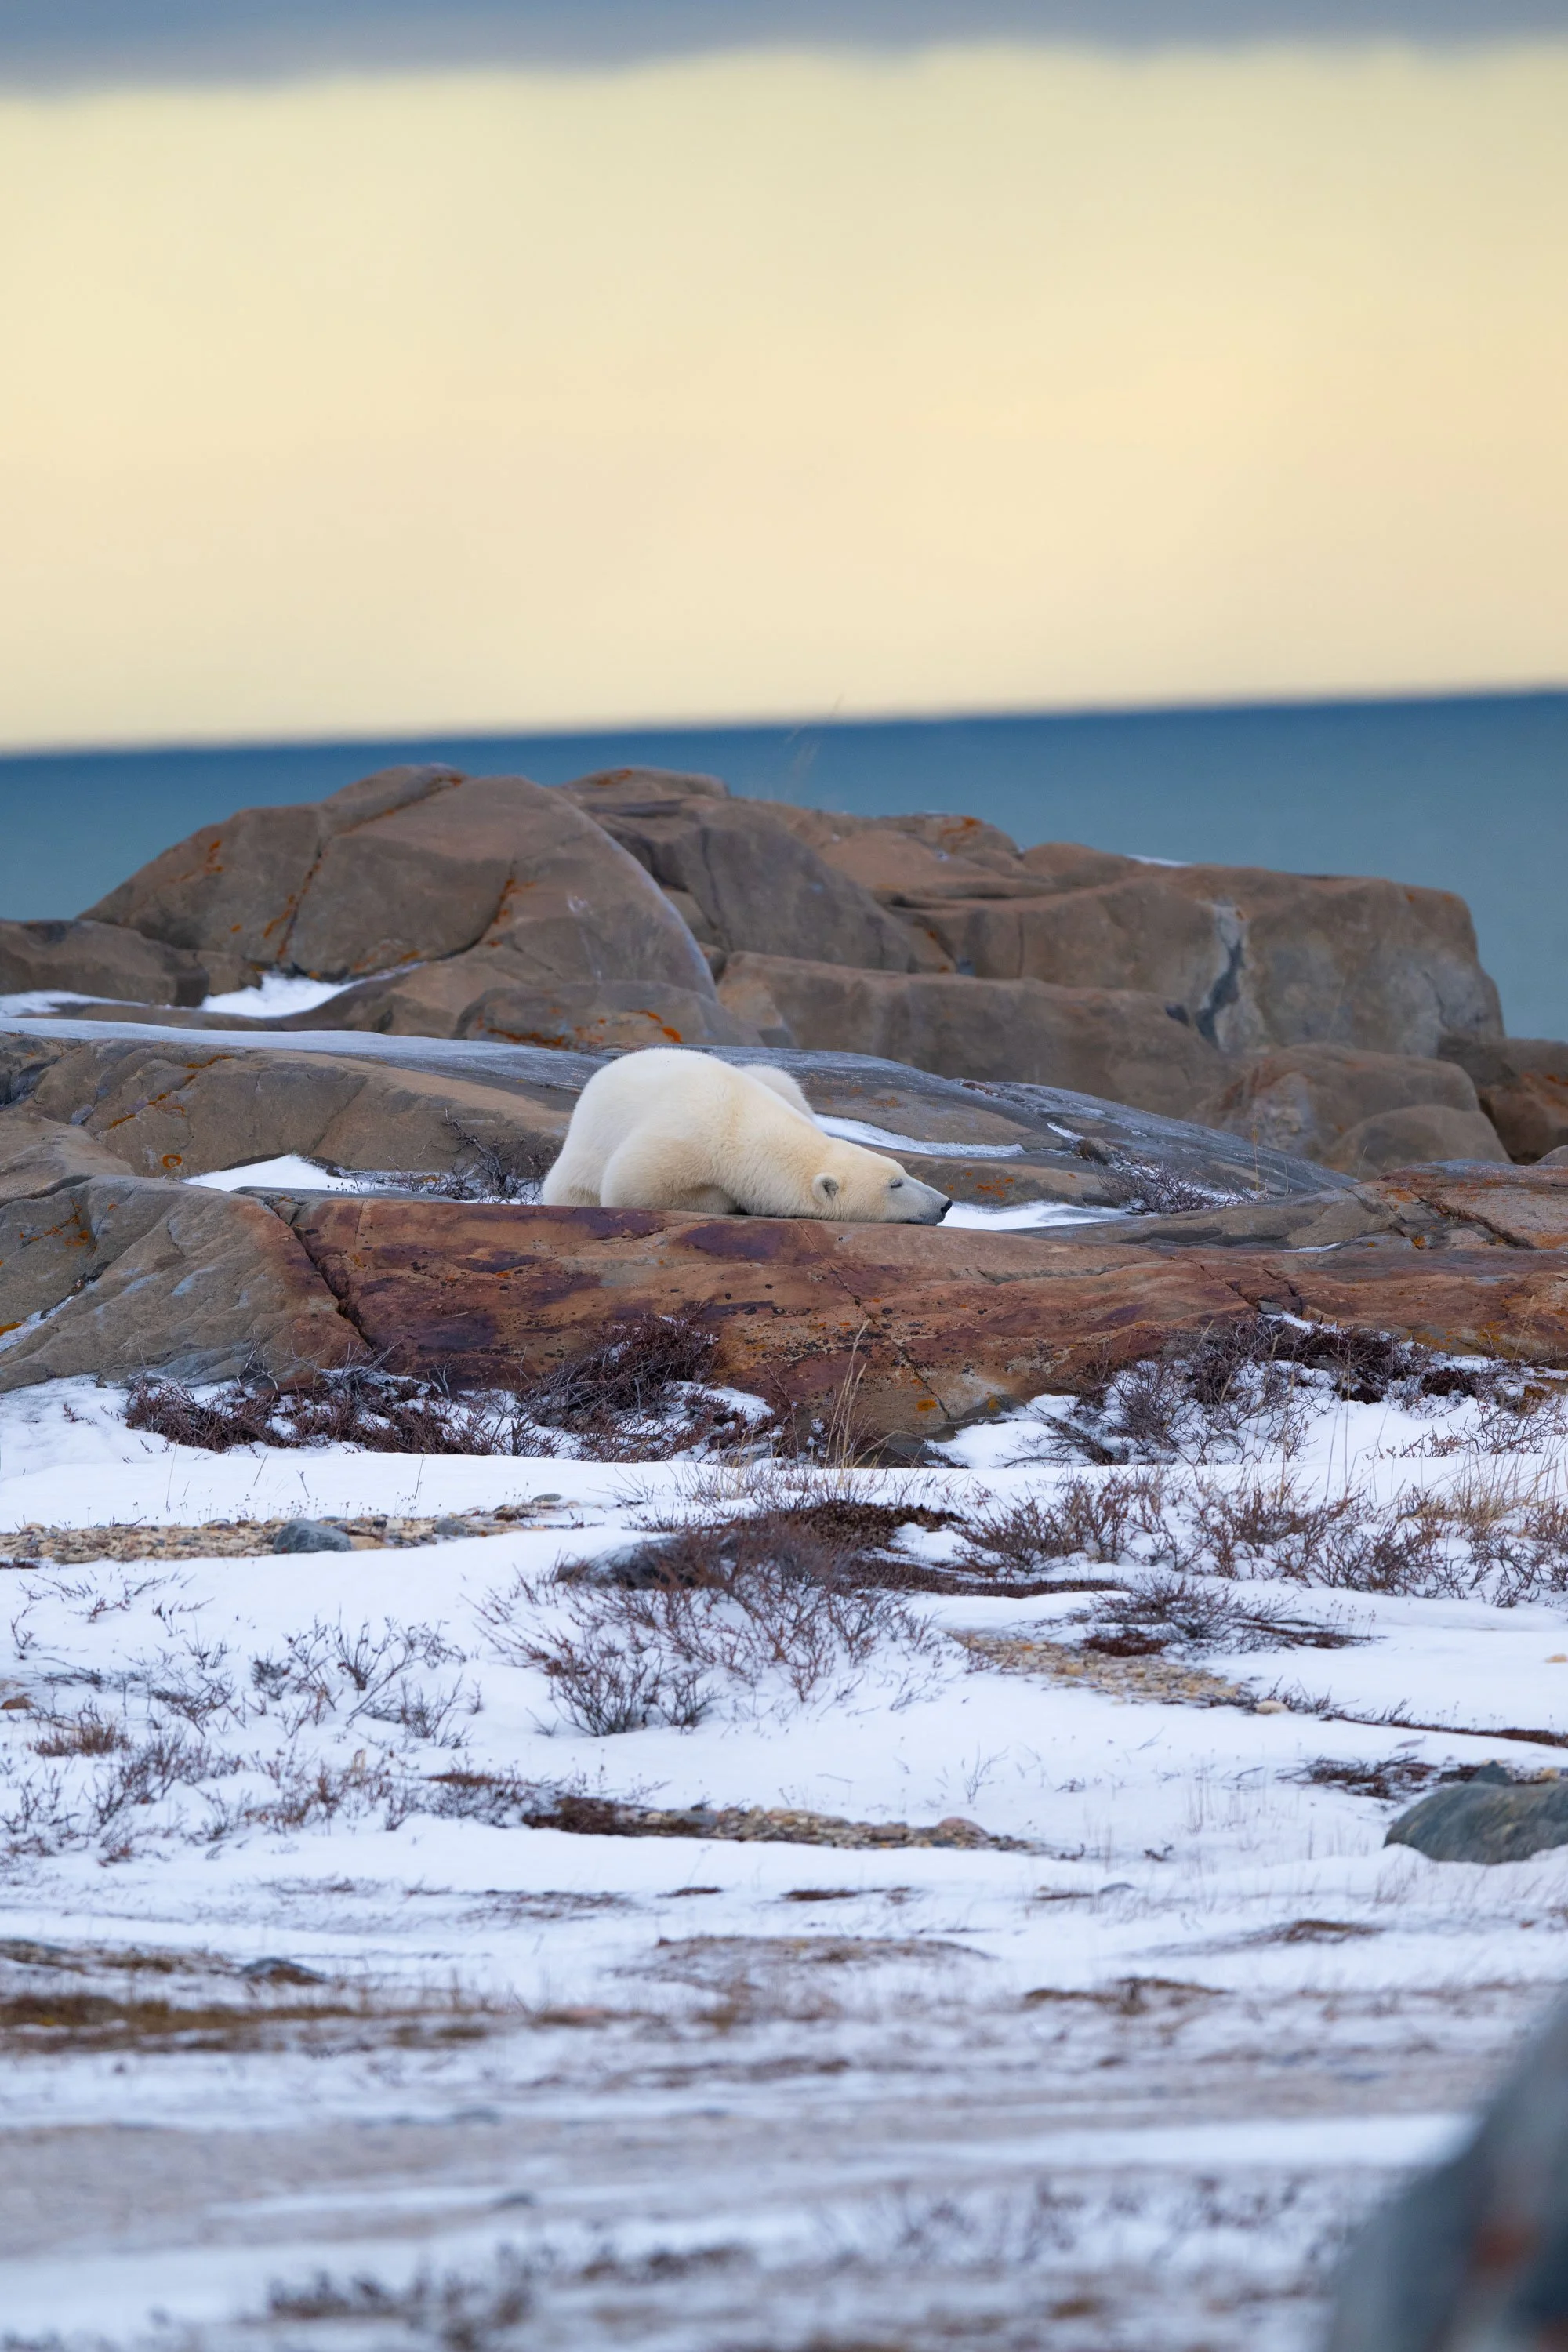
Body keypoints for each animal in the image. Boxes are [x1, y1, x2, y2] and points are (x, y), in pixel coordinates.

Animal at [541, 1049, 952, 1223]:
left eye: (903, 1172)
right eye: (895, 1184)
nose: (946, 1204)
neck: (739, 1121)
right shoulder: (679, 1143)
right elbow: (629, 1186)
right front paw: (730, 1201)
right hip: (583, 1155)